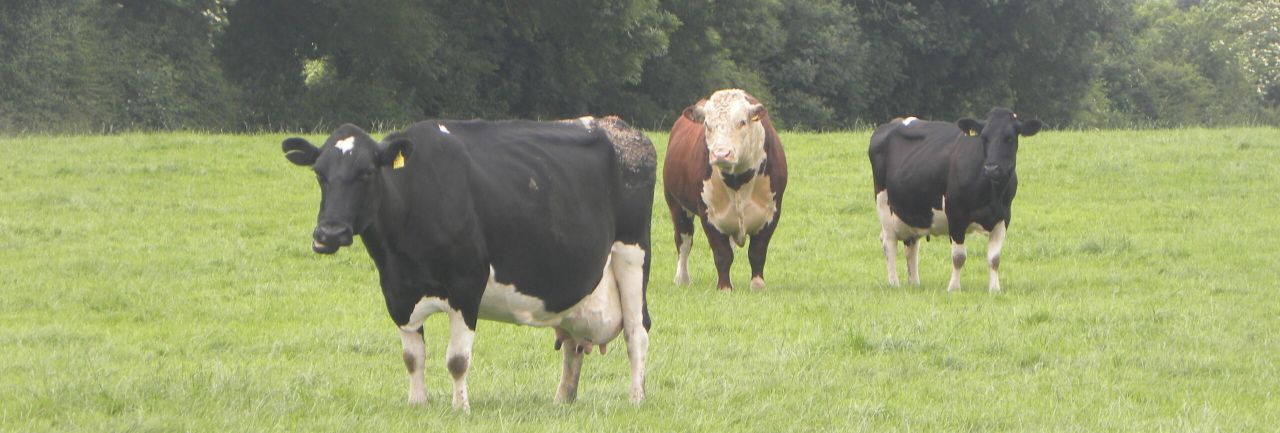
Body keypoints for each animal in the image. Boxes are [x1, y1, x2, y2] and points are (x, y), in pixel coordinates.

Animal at [280, 116, 655, 410]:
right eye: (319, 174)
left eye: (367, 172)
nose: (330, 232)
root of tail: (619, 127)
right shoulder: (397, 291)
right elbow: (412, 357)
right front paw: (417, 403)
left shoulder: (467, 283)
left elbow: (457, 360)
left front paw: (460, 407)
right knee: (574, 342)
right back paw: (563, 399)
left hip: (632, 254)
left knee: (637, 332)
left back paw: (636, 398)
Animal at [663, 89, 788, 291]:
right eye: (707, 124)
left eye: (742, 122)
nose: (721, 154)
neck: (738, 181)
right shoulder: (708, 215)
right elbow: (722, 254)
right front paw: (724, 287)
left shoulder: (771, 212)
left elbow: (757, 252)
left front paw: (757, 285)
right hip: (676, 204)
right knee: (684, 241)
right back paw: (682, 278)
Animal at [868, 108, 1041, 292]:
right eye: (984, 138)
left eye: (1009, 138)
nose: (992, 168)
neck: (991, 192)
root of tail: (894, 122)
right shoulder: (956, 214)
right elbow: (959, 257)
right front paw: (954, 288)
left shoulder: (1003, 217)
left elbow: (994, 258)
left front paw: (994, 289)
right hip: (883, 204)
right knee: (889, 242)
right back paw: (894, 282)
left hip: (913, 211)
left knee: (911, 246)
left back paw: (914, 283)